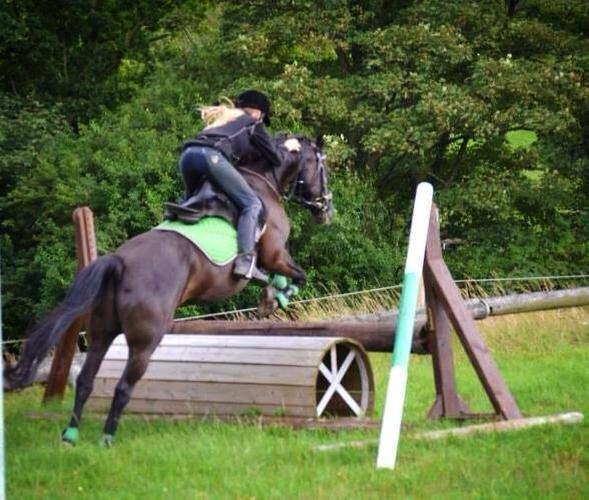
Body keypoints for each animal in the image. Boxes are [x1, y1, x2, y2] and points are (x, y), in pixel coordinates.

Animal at [4, 136, 334, 446]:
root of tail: (119, 261)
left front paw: (271, 296)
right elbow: (294, 274)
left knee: (86, 379)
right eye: (323, 168)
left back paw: (70, 435)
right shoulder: (275, 253)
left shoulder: (270, 259)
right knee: (123, 386)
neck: (263, 178)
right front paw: (277, 297)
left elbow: (276, 276)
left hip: (102, 331)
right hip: (146, 340)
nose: (326, 211)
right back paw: (107, 438)